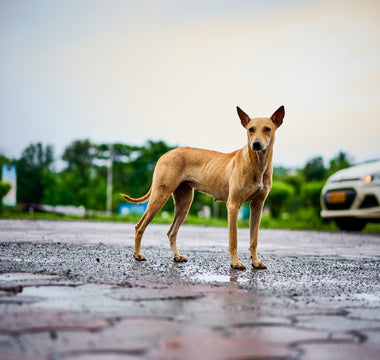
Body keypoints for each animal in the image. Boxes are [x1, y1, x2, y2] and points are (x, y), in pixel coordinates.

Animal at [120, 105, 284, 268]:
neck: (257, 163)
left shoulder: (257, 206)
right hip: (160, 196)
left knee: (171, 232)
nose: (256, 144)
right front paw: (235, 263)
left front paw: (255, 262)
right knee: (140, 227)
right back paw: (137, 254)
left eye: (267, 129)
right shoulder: (233, 205)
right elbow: (234, 240)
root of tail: (166, 153)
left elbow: (254, 239)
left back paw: (177, 256)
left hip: (184, 204)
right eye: (251, 129)